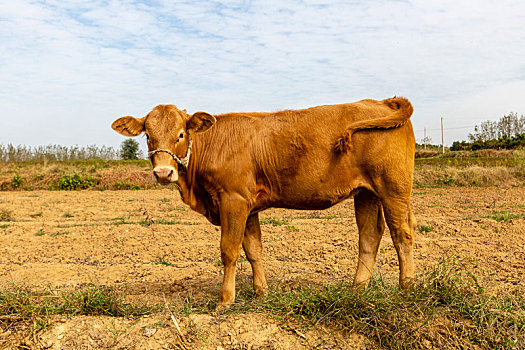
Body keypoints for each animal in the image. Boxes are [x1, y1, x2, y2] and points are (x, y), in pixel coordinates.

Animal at [112, 97, 416, 308]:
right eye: (148, 136)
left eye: (181, 134)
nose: (163, 173)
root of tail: (382, 101)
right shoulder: (248, 206)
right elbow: (253, 249)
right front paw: (261, 293)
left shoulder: (232, 200)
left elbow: (229, 250)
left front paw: (225, 300)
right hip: (367, 192)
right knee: (370, 235)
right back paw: (358, 289)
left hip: (393, 188)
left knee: (402, 233)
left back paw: (406, 289)